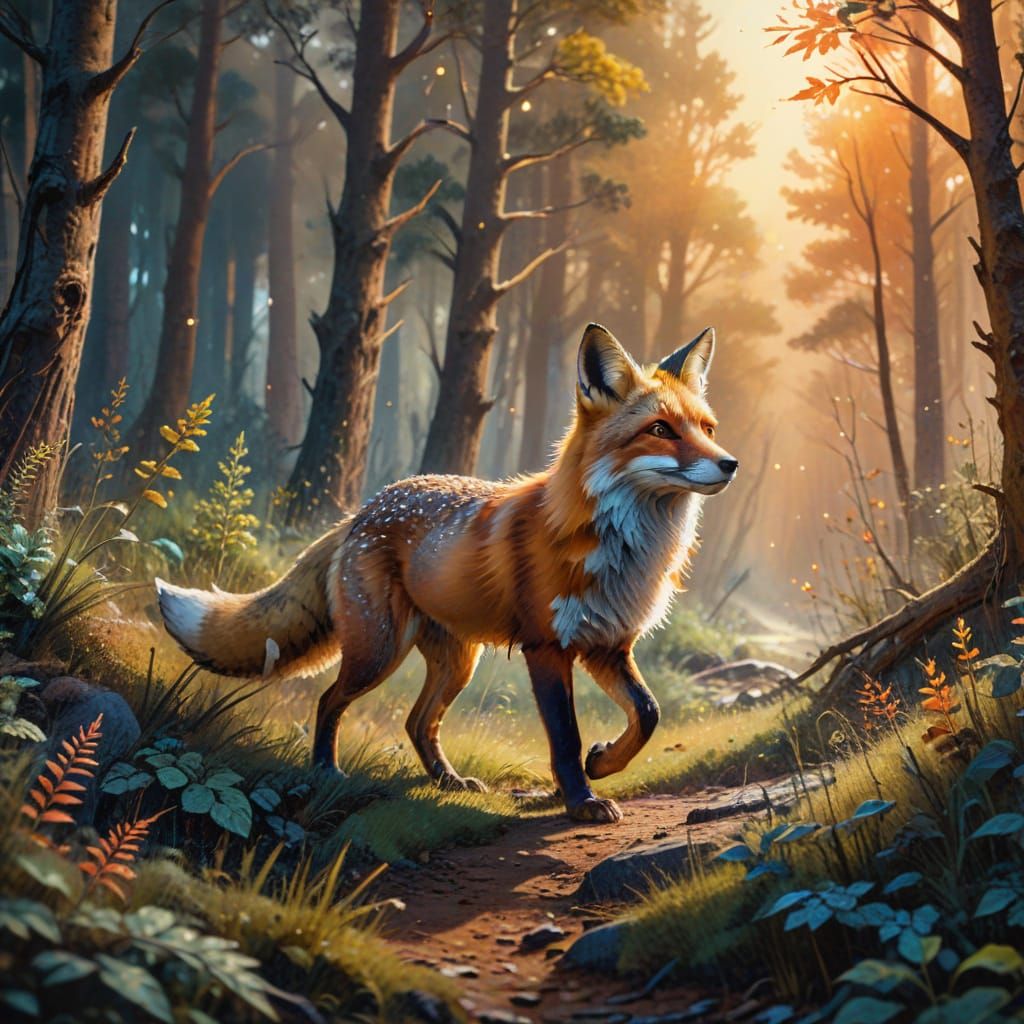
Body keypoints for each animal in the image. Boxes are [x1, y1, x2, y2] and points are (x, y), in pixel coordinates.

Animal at [156, 323, 738, 823]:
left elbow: (648, 713)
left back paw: (448, 781)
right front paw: (580, 799)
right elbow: (565, 736)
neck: (622, 551)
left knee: (418, 722)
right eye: (660, 430)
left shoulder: (606, 644)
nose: (730, 463)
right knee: (329, 701)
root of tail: (364, 509)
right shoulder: (547, 647)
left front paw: (604, 763)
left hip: (457, 662)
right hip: (378, 651)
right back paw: (326, 770)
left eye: (708, 429)